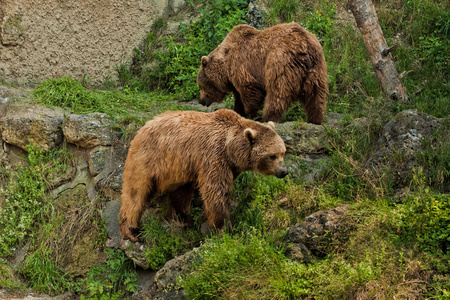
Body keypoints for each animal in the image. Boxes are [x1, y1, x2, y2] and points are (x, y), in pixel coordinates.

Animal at [118, 108, 288, 241]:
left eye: (283, 152)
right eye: (272, 156)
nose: (284, 171)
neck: (230, 148)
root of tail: (143, 127)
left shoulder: (229, 165)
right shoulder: (214, 156)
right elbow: (216, 192)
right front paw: (224, 228)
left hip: (179, 170)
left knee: (180, 193)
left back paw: (182, 218)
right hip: (148, 158)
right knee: (136, 192)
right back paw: (131, 230)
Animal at [197, 22, 326, 124]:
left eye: (201, 85)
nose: (201, 101)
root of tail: (304, 44)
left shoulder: (242, 66)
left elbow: (250, 91)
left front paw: (250, 113)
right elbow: (238, 96)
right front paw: (238, 110)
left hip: (280, 61)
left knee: (277, 93)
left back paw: (267, 118)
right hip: (317, 68)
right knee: (316, 95)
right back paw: (315, 119)